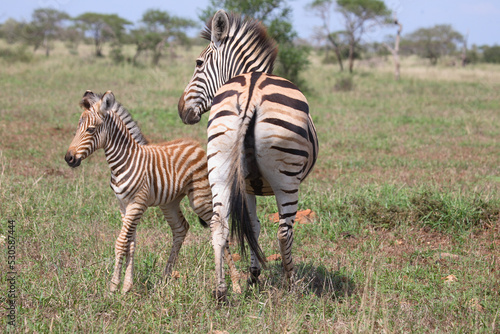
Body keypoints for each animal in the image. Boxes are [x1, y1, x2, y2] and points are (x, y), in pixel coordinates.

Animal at [64, 90, 240, 294]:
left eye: (91, 130)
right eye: (77, 128)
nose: (68, 158)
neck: (124, 160)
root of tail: (195, 144)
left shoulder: (136, 204)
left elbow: (121, 243)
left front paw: (113, 287)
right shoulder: (124, 206)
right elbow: (130, 243)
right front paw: (126, 286)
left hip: (200, 198)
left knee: (218, 228)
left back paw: (235, 285)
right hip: (169, 202)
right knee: (181, 228)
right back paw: (165, 277)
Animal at [178, 10, 318, 298]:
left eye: (198, 63)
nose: (180, 110)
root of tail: (252, 90)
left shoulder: (247, 183)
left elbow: (252, 226)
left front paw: (252, 277)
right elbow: (259, 227)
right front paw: (256, 275)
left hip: (219, 165)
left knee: (218, 225)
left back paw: (221, 291)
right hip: (286, 177)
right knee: (285, 231)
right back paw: (292, 285)